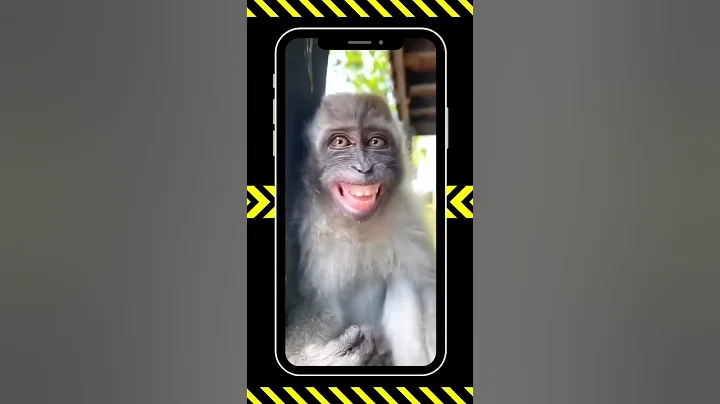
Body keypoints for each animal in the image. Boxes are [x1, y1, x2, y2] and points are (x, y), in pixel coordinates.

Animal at [284, 92, 436, 367]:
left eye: (376, 141)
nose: (364, 168)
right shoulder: (311, 233)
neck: (358, 226)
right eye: (340, 142)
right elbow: (318, 307)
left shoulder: (409, 221)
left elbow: (425, 287)